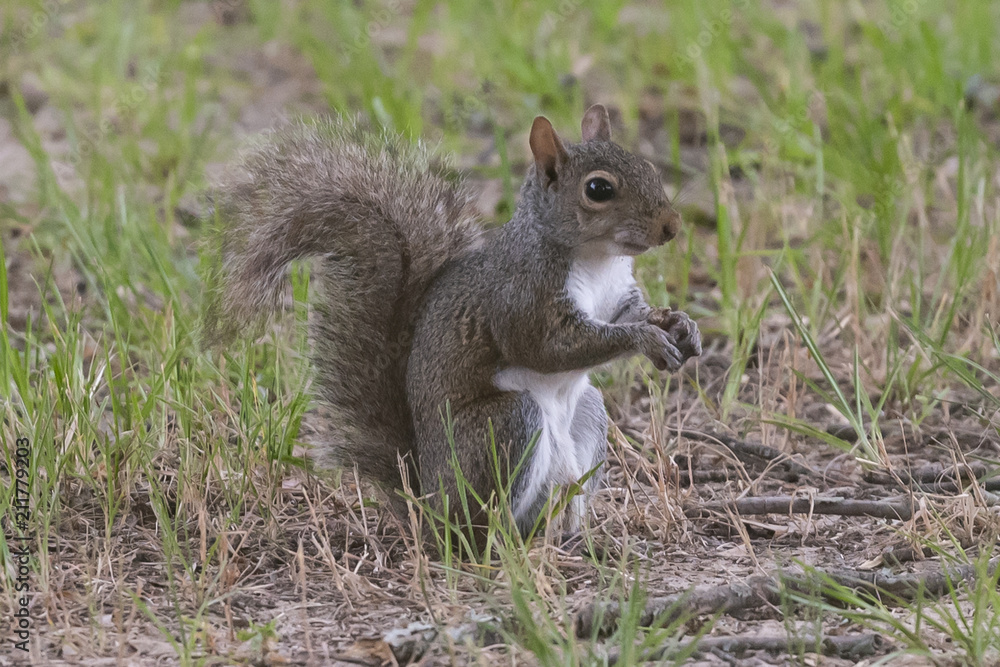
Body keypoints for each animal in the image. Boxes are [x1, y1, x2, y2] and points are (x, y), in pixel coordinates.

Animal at [203, 104, 701, 551]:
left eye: (648, 168)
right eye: (598, 188)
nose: (672, 226)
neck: (596, 259)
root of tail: (428, 507)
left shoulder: (617, 296)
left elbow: (626, 315)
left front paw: (680, 325)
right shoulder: (522, 298)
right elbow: (548, 347)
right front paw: (647, 339)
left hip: (587, 419)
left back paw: (574, 542)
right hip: (503, 428)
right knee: (481, 529)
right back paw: (505, 549)